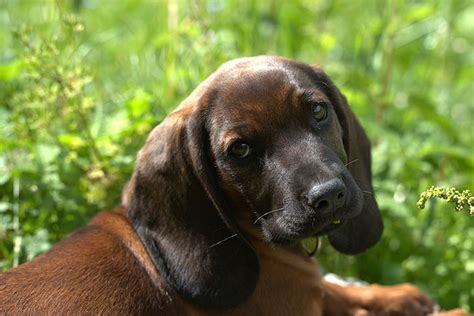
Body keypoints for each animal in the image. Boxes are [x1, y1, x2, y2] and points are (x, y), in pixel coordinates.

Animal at [0, 55, 462, 314]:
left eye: (318, 111)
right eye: (239, 150)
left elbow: (336, 288)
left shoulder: (308, 288)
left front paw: (398, 295)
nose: (329, 196)